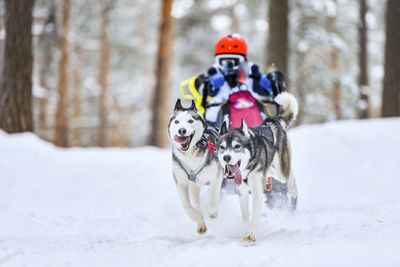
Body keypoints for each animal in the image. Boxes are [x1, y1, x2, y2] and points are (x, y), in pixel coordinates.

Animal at [167, 98, 223, 234]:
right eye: (176, 121)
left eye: (190, 121)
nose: (181, 130)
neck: (191, 152)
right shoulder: (180, 181)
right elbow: (187, 205)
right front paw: (199, 220)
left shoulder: (216, 176)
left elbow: (214, 196)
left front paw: (212, 212)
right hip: (194, 184)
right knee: (195, 201)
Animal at [217, 92, 298, 243]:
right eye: (222, 147)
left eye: (237, 146)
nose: (226, 158)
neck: (247, 171)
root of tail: (271, 121)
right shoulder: (242, 192)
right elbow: (245, 217)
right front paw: (243, 229)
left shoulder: (257, 192)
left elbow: (254, 216)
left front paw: (250, 235)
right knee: (271, 172)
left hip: (282, 170)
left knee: (288, 175)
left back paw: (293, 189)